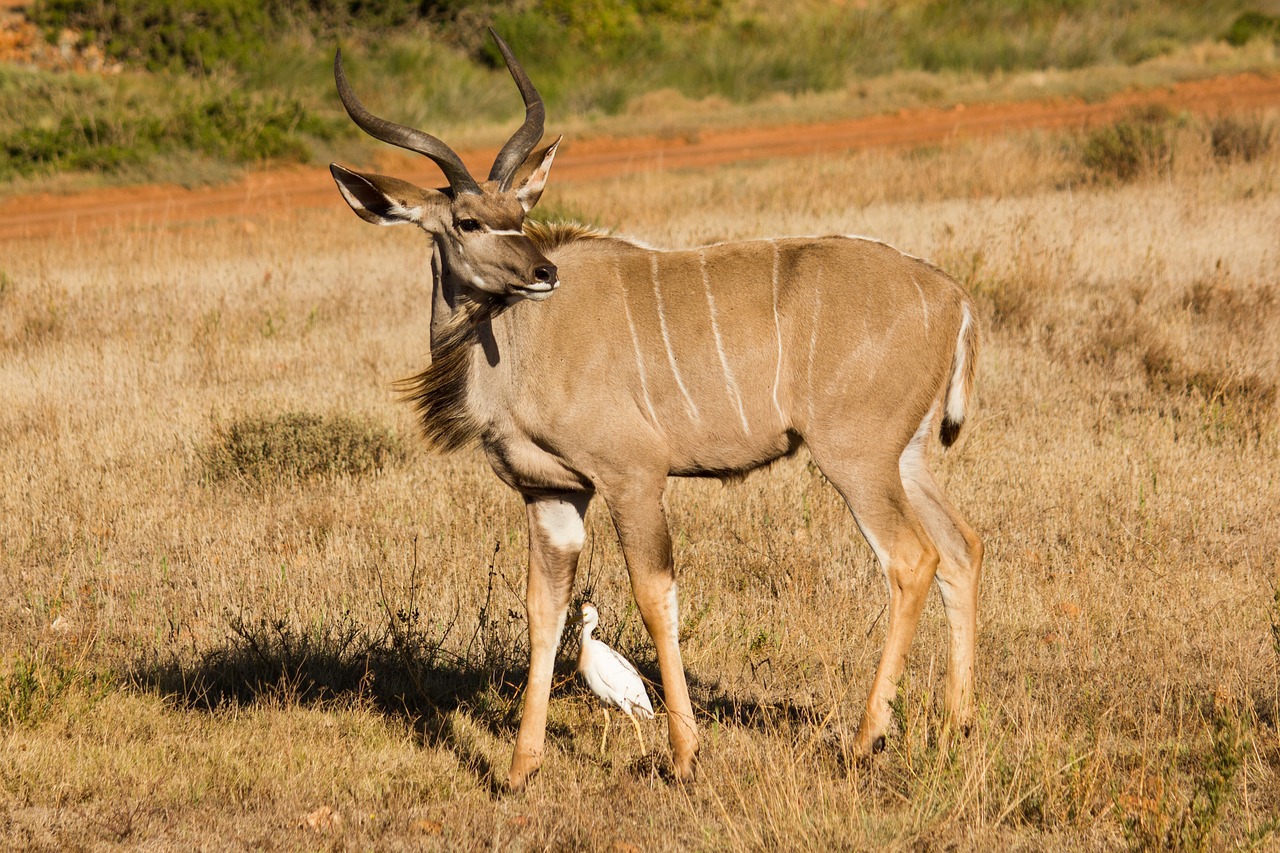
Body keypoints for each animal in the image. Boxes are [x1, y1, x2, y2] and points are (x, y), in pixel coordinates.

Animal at [327, 33, 977, 788]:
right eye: (468, 221)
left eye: (520, 216)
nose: (543, 272)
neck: (518, 344)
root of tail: (952, 295)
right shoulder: (550, 492)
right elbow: (543, 612)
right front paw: (519, 771)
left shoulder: (632, 476)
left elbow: (653, 595)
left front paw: (686, 755)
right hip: (906, 458)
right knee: (961, 548)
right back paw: (958, 725)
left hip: (856, 458)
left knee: (911, 559)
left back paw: (866, 737)